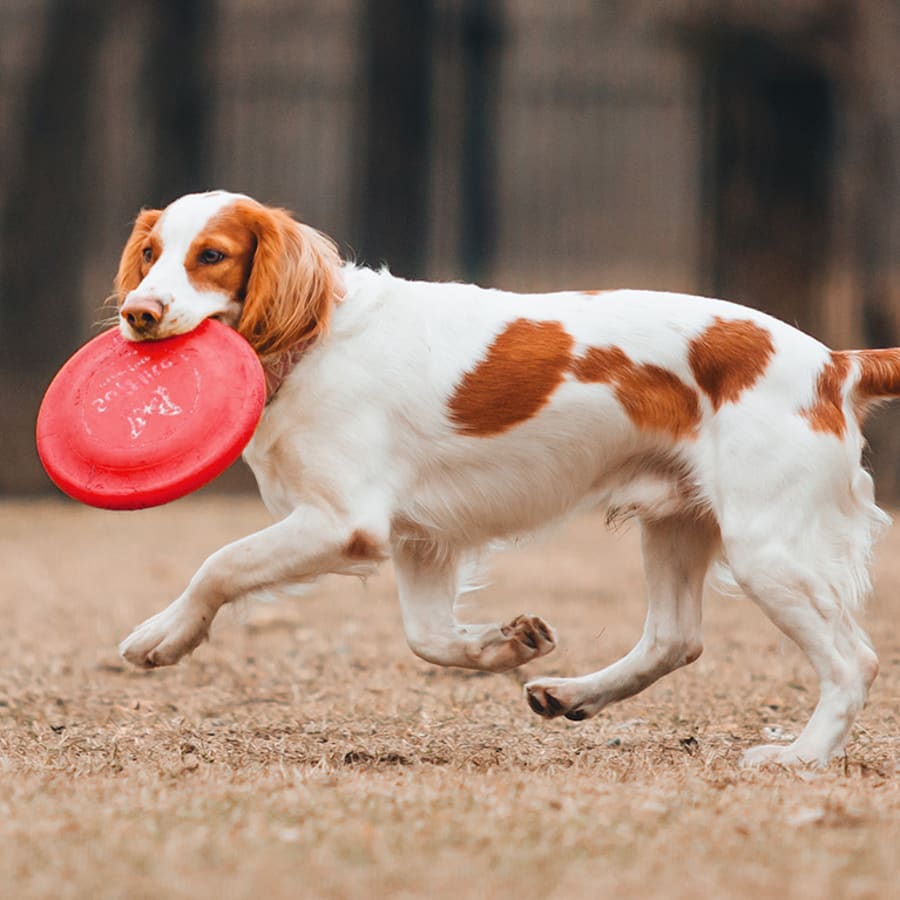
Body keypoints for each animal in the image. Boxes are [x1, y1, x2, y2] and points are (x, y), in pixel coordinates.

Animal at [116, 190, 900, 768]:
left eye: (212, 256)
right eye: (151, 254)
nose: (138, 313)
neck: (315, 340)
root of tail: (835, 363)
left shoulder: (345, 523)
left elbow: (221, 564)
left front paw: (162, 636)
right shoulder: (421, 539)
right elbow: (429, 638)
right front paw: (505, 644)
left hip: (768, 548)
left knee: (853, 661)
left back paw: (799, 756)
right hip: (677, 522)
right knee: (675, 638)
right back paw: (571, 694)